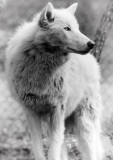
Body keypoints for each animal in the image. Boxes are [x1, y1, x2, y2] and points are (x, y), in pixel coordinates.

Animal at [5, 1, 103, 160]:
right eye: (67, 28)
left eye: (77, 28)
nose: (91, 44)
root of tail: (92, 59)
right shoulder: (31, 112)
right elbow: (39, 149)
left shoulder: (57, 110)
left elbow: (53, 149)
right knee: (63, 148)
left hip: (84, 123)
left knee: (92, 151)